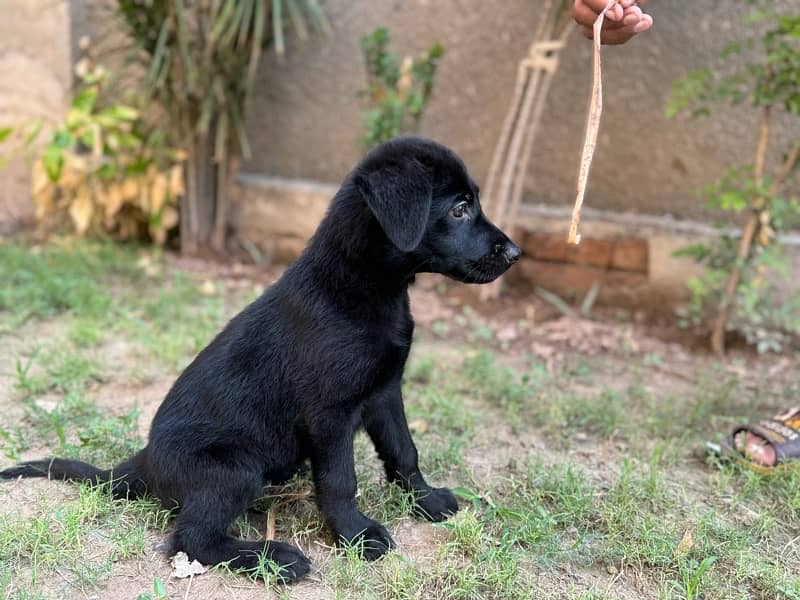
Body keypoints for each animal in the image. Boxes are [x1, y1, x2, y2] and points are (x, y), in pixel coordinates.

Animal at [0, 137, 520, 580]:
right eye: (459, 208)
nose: (515, 253)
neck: (362, 290)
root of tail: (145, 462)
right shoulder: (330, 414)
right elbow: (339, 480)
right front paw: (357, 536)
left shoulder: (385, 391)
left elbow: (404, 452)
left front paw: (426, 500)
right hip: (235, 469)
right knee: (191, 541)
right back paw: (274, 558)